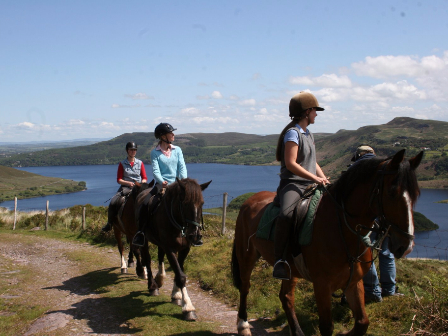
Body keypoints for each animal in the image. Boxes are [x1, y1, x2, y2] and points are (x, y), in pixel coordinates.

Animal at [138, 176, 212, 320]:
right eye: (185, 203)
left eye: (202, 203)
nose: (195, 235)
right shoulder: (170, 248)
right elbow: (181, 275)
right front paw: (188, 307)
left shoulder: (184, 248)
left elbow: (179, 270)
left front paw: (176, 295)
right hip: (144, 240)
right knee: (147, 260)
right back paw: (153, 286)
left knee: (160, 256)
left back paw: (160, 278)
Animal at [231, 150, 424, 336]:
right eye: (392, 192)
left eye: (416, 195)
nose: (406, 246)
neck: (342, 230)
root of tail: (250, 200)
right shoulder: (322, 285)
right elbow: (327, 327)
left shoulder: (353, 282)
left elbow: (362, 323)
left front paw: (346, 333)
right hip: (246, 256)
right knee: (245, 287)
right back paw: (243, 325)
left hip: (289, 269)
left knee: (286, 297)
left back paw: (297, 331)